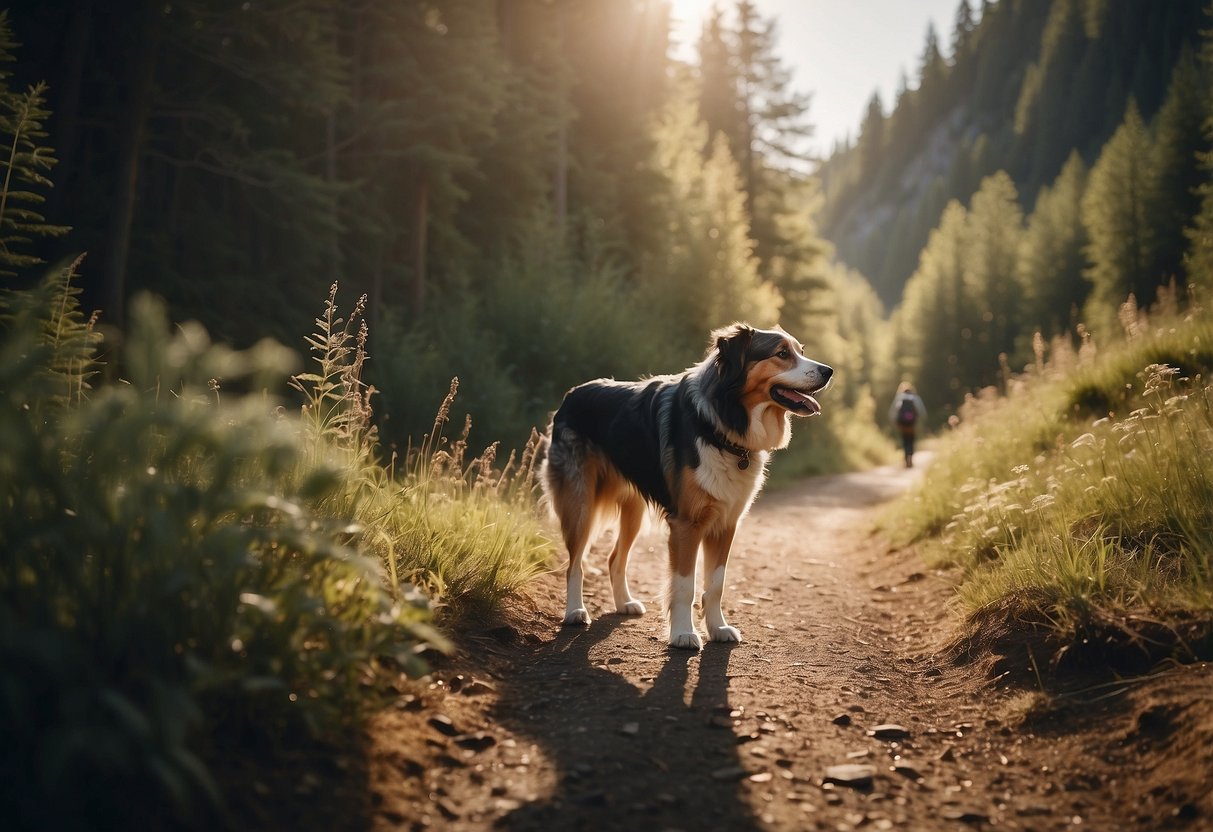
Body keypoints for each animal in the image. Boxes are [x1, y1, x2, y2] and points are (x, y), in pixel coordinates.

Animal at [543, 325, 834, 650]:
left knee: (615, 557)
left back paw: (624, 603)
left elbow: (716, 584)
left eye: (801, 351)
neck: (722, 423)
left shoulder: (726, 523)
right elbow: (685, 585)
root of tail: (572, 394)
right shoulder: (686, 523)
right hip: (580, 503)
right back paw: (574, 611)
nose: (829, 371)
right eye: (782, 354)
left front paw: (718, 628)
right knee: (575, 563)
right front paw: (682, 633)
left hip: (633, 512)